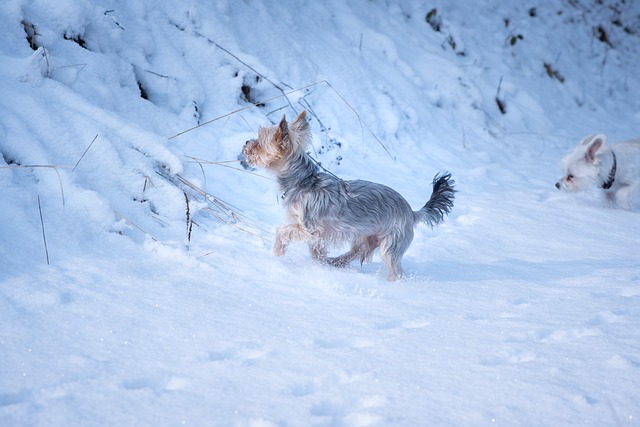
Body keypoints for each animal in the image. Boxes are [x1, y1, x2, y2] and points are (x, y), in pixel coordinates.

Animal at [241, 110, 456, 280]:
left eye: (259, 142)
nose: (246, 142)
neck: (303, 182)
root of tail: (412, 212)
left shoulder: (309, 228)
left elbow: (282, 231)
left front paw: (277, 252)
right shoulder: (318, 235)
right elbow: (316, 250)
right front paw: (318, 265)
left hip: (391, 243)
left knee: (394, 267)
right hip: (367, 236)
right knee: (357, 250)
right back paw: (336, 262)